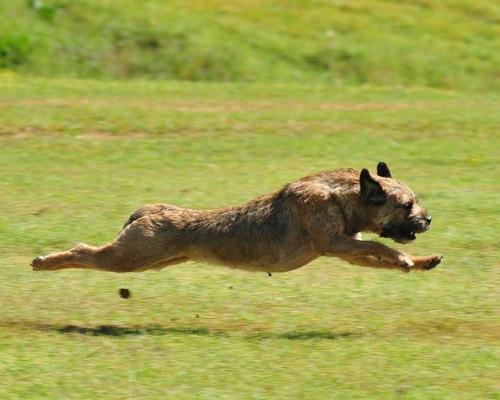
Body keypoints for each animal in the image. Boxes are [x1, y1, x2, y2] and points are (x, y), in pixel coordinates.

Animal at [31, 161, 442, 274]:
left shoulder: (347, 249)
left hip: (150, 260)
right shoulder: (334, 243)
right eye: (407, 205)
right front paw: (405, 257)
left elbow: (378, 256)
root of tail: (150, 209)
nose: (428, 220)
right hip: (128, 257)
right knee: (83, 251)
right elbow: (380, 246)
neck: (341, 196)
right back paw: (45, 262)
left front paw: (419, 261)